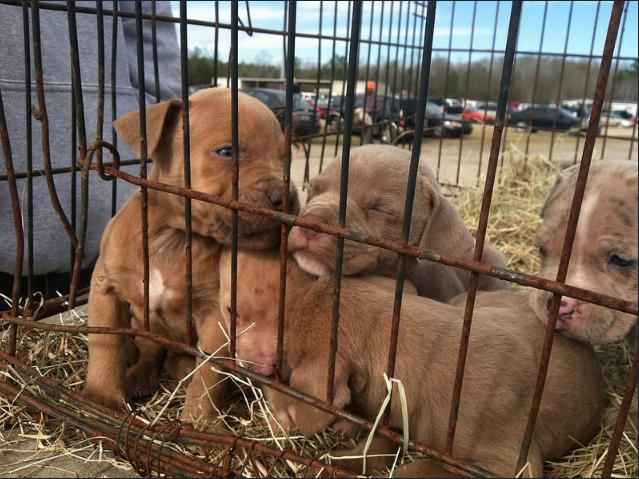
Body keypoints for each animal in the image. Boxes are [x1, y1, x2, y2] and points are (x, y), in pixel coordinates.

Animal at [82, 89, 300, 412]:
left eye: (285, 158)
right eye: (226, 152)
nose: (286, 198)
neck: (174, 237)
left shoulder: (215, 319)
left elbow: (208, 373)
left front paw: (197, 416)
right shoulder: (105, 288)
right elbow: (105, 345)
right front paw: (102, 397)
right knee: (150, 352)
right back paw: (138, 377)